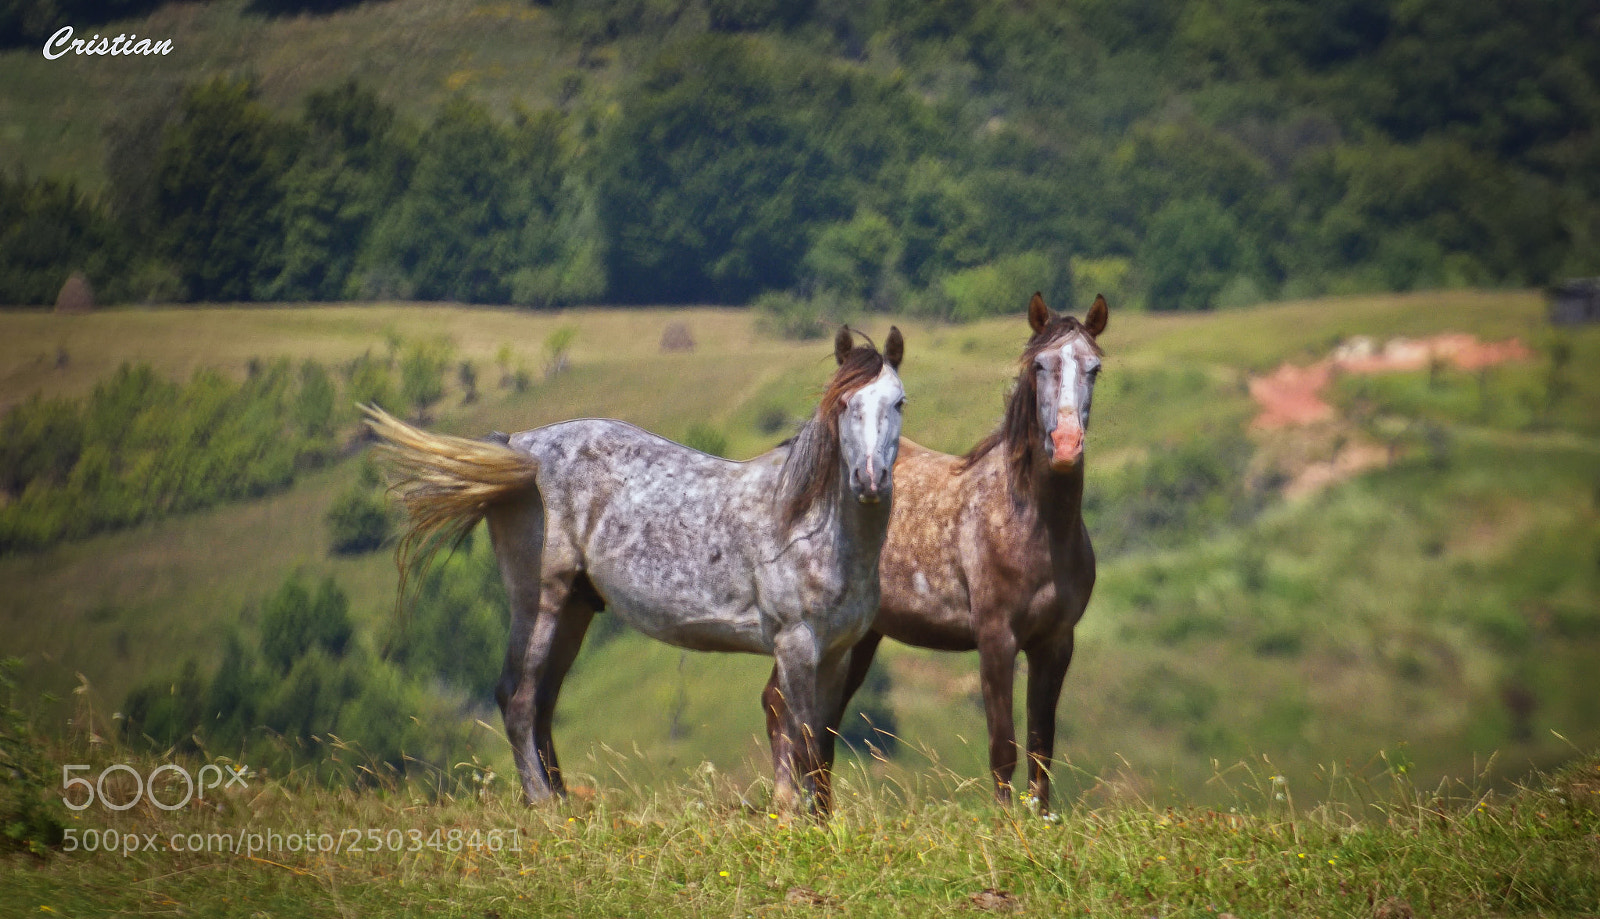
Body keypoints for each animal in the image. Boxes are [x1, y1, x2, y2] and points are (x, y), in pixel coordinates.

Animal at [366, 326, 906, 814]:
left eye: (899, 402)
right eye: (844, 405)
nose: (870, 479)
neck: (809, 524)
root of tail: (519, 446)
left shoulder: (837, 651)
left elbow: (821, 741)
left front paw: (820, 821)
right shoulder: (795, 645)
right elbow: (803, 734)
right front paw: (798, 819)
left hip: (577, 608)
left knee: (540, 701)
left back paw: (561, 798)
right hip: (541, 600)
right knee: (518, 700)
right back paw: (544, 805)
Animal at [764, 292, 1106, 813]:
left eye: (1094, 368)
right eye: (1040, 365)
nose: (1066, 445)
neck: (1032, 526)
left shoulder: (1056, 642)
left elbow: (1041, 747)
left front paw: (1042, 820)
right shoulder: (996, 638)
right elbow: (1003, 747)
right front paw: (1006, 825)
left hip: (858, 640)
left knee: (820, 729)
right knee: (781, 707)